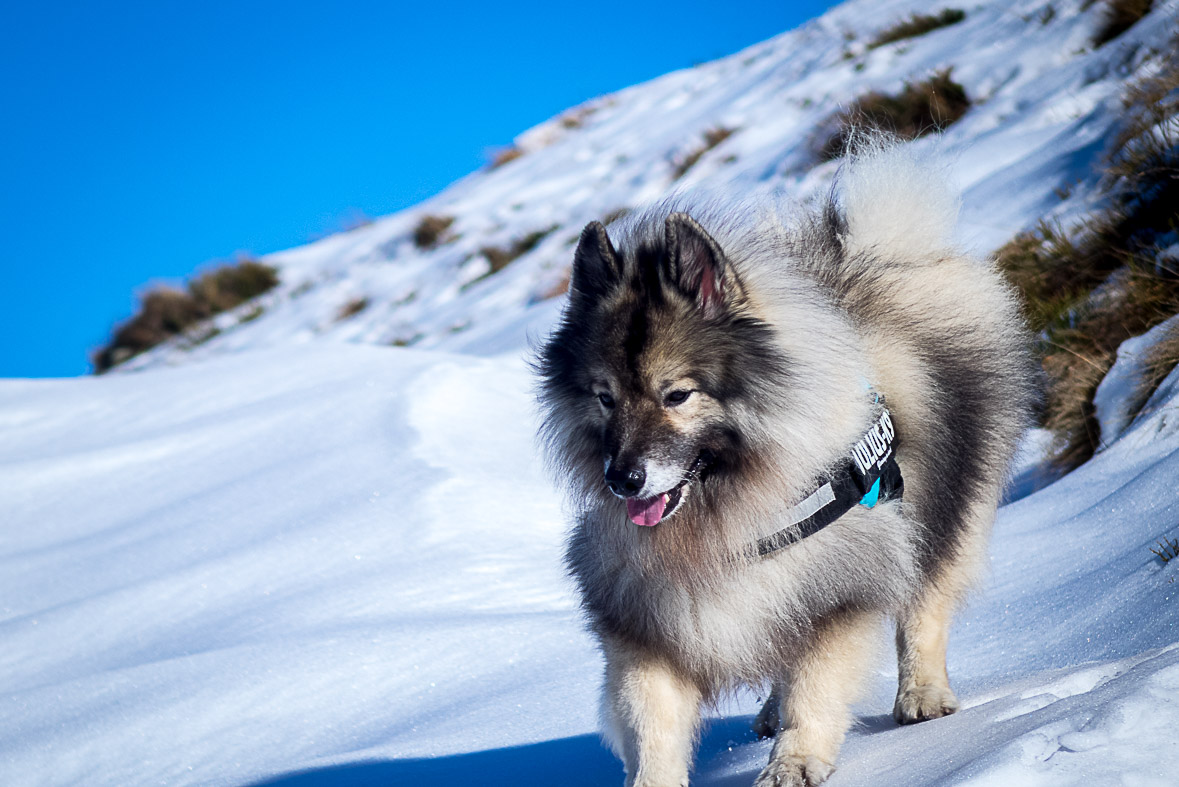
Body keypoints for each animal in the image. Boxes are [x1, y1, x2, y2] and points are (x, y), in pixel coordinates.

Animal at [539, 143, 1037, 787]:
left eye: (678, 395)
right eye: (604, 397)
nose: (623, 479)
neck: (723, 519)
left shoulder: (835, 594)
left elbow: (815, 690)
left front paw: (794, 763)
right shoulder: (647, 624)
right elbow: (653, 726)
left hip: (948, 503)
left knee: (926, 605)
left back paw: (922, 695)